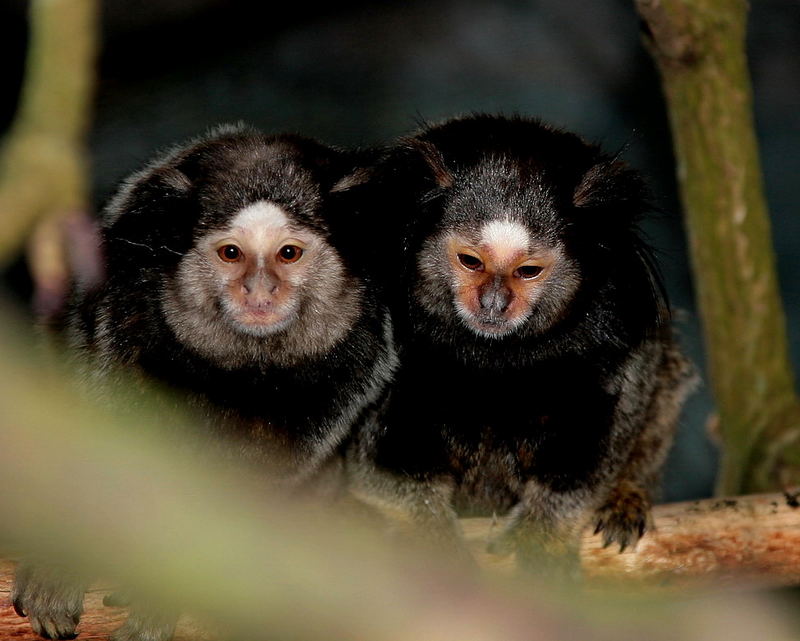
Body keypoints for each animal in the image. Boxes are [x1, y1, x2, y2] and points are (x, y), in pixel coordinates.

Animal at [14, 126, 396, 640]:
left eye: (288, 253)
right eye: (231, 253)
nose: (259, 291)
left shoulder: (359, 352)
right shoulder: (122, 314)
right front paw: (65, 561)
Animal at [348, 115, 692, 576]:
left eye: (528, 271)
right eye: (471, 261)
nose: (493, 303)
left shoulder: (617, 324)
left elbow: (604, 427)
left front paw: (543, 535)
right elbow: (383, 463)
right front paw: (431, 539)